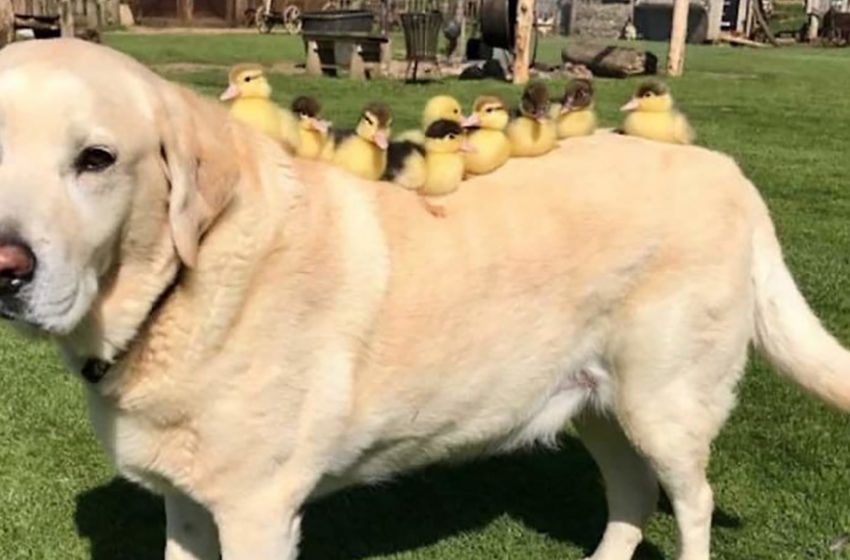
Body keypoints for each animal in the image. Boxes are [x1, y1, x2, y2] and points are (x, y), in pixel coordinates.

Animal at [1, 37, 848, 556]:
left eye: (96, 158)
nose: (7, 268)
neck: (182, 287)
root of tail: (728, 170)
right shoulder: (186, 505)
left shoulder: (257, 512)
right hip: (598, 402)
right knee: (633, 493)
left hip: (664, 404)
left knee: (693, 501)